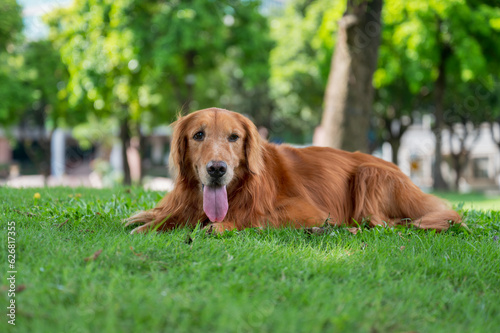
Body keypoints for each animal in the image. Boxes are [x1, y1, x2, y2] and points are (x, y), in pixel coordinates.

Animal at [127, 107, 462, 232]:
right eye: (198, 135)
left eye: (234, 137)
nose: (217, 169)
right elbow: (160, 218)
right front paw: (145, 223)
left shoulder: (308, 212)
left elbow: (254, 218)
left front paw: (221, 225)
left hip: (370, 174)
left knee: (385, 222)